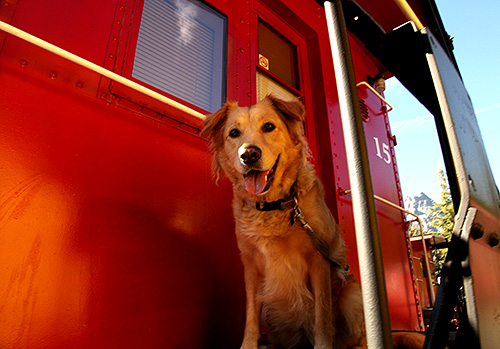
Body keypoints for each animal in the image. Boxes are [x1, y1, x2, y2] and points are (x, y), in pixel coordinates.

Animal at [201, 95, 424, 348]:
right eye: (234, 133)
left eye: (268, 126)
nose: (248, 155)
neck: (274, 204)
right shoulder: (251, 265)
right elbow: (250, 316)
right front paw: (248, 345)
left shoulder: (318, 260)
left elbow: (322, 315)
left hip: (352, 295)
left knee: (358, 338)